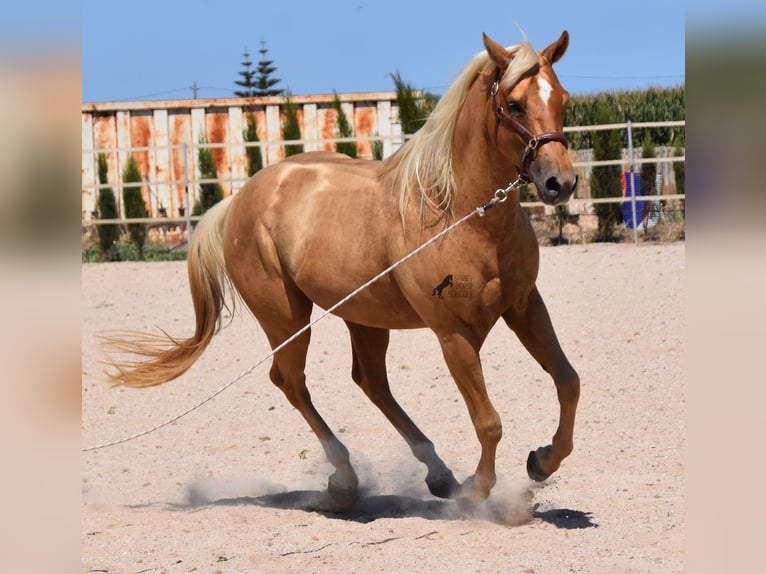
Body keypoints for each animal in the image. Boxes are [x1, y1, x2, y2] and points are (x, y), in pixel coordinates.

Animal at [108, 31, 584, 508]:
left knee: (370, 382)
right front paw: (477, 491)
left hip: (365, 319)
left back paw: (436, 473)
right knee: (291, 381)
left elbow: (568, 381)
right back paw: (345, 477)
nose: (560, 183)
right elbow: (488, 421)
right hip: (286, 318)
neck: (460, 213)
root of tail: (240, 199)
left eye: (563, 98)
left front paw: (542, 461)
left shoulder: (524, 307)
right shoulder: (453, 333)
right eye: (515, 104)